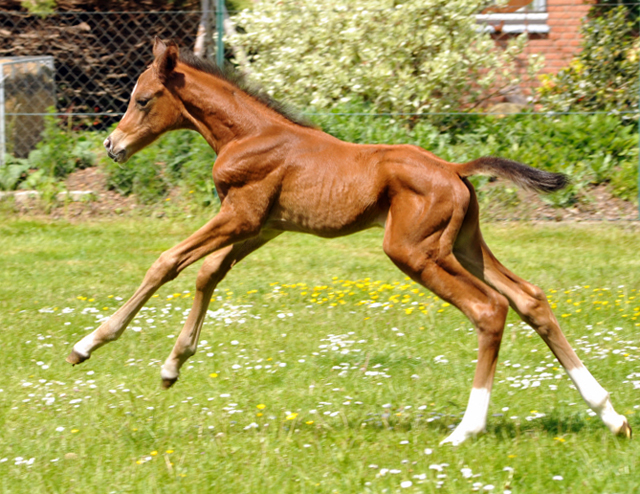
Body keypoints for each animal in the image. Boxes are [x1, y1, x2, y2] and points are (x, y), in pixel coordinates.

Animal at [66, 40, 632, 446]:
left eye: (143, 100)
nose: (112, 146)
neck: (248, 135)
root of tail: (454, 168)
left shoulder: (239, 216)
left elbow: (167, 263)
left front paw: (88, 344)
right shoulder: (262, 226)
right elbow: (208, 273)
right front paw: (171, 366)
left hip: (414, 251)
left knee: (490, 309)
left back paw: (465, 430)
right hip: (464, 245)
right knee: (530, 299)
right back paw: (611, 415)